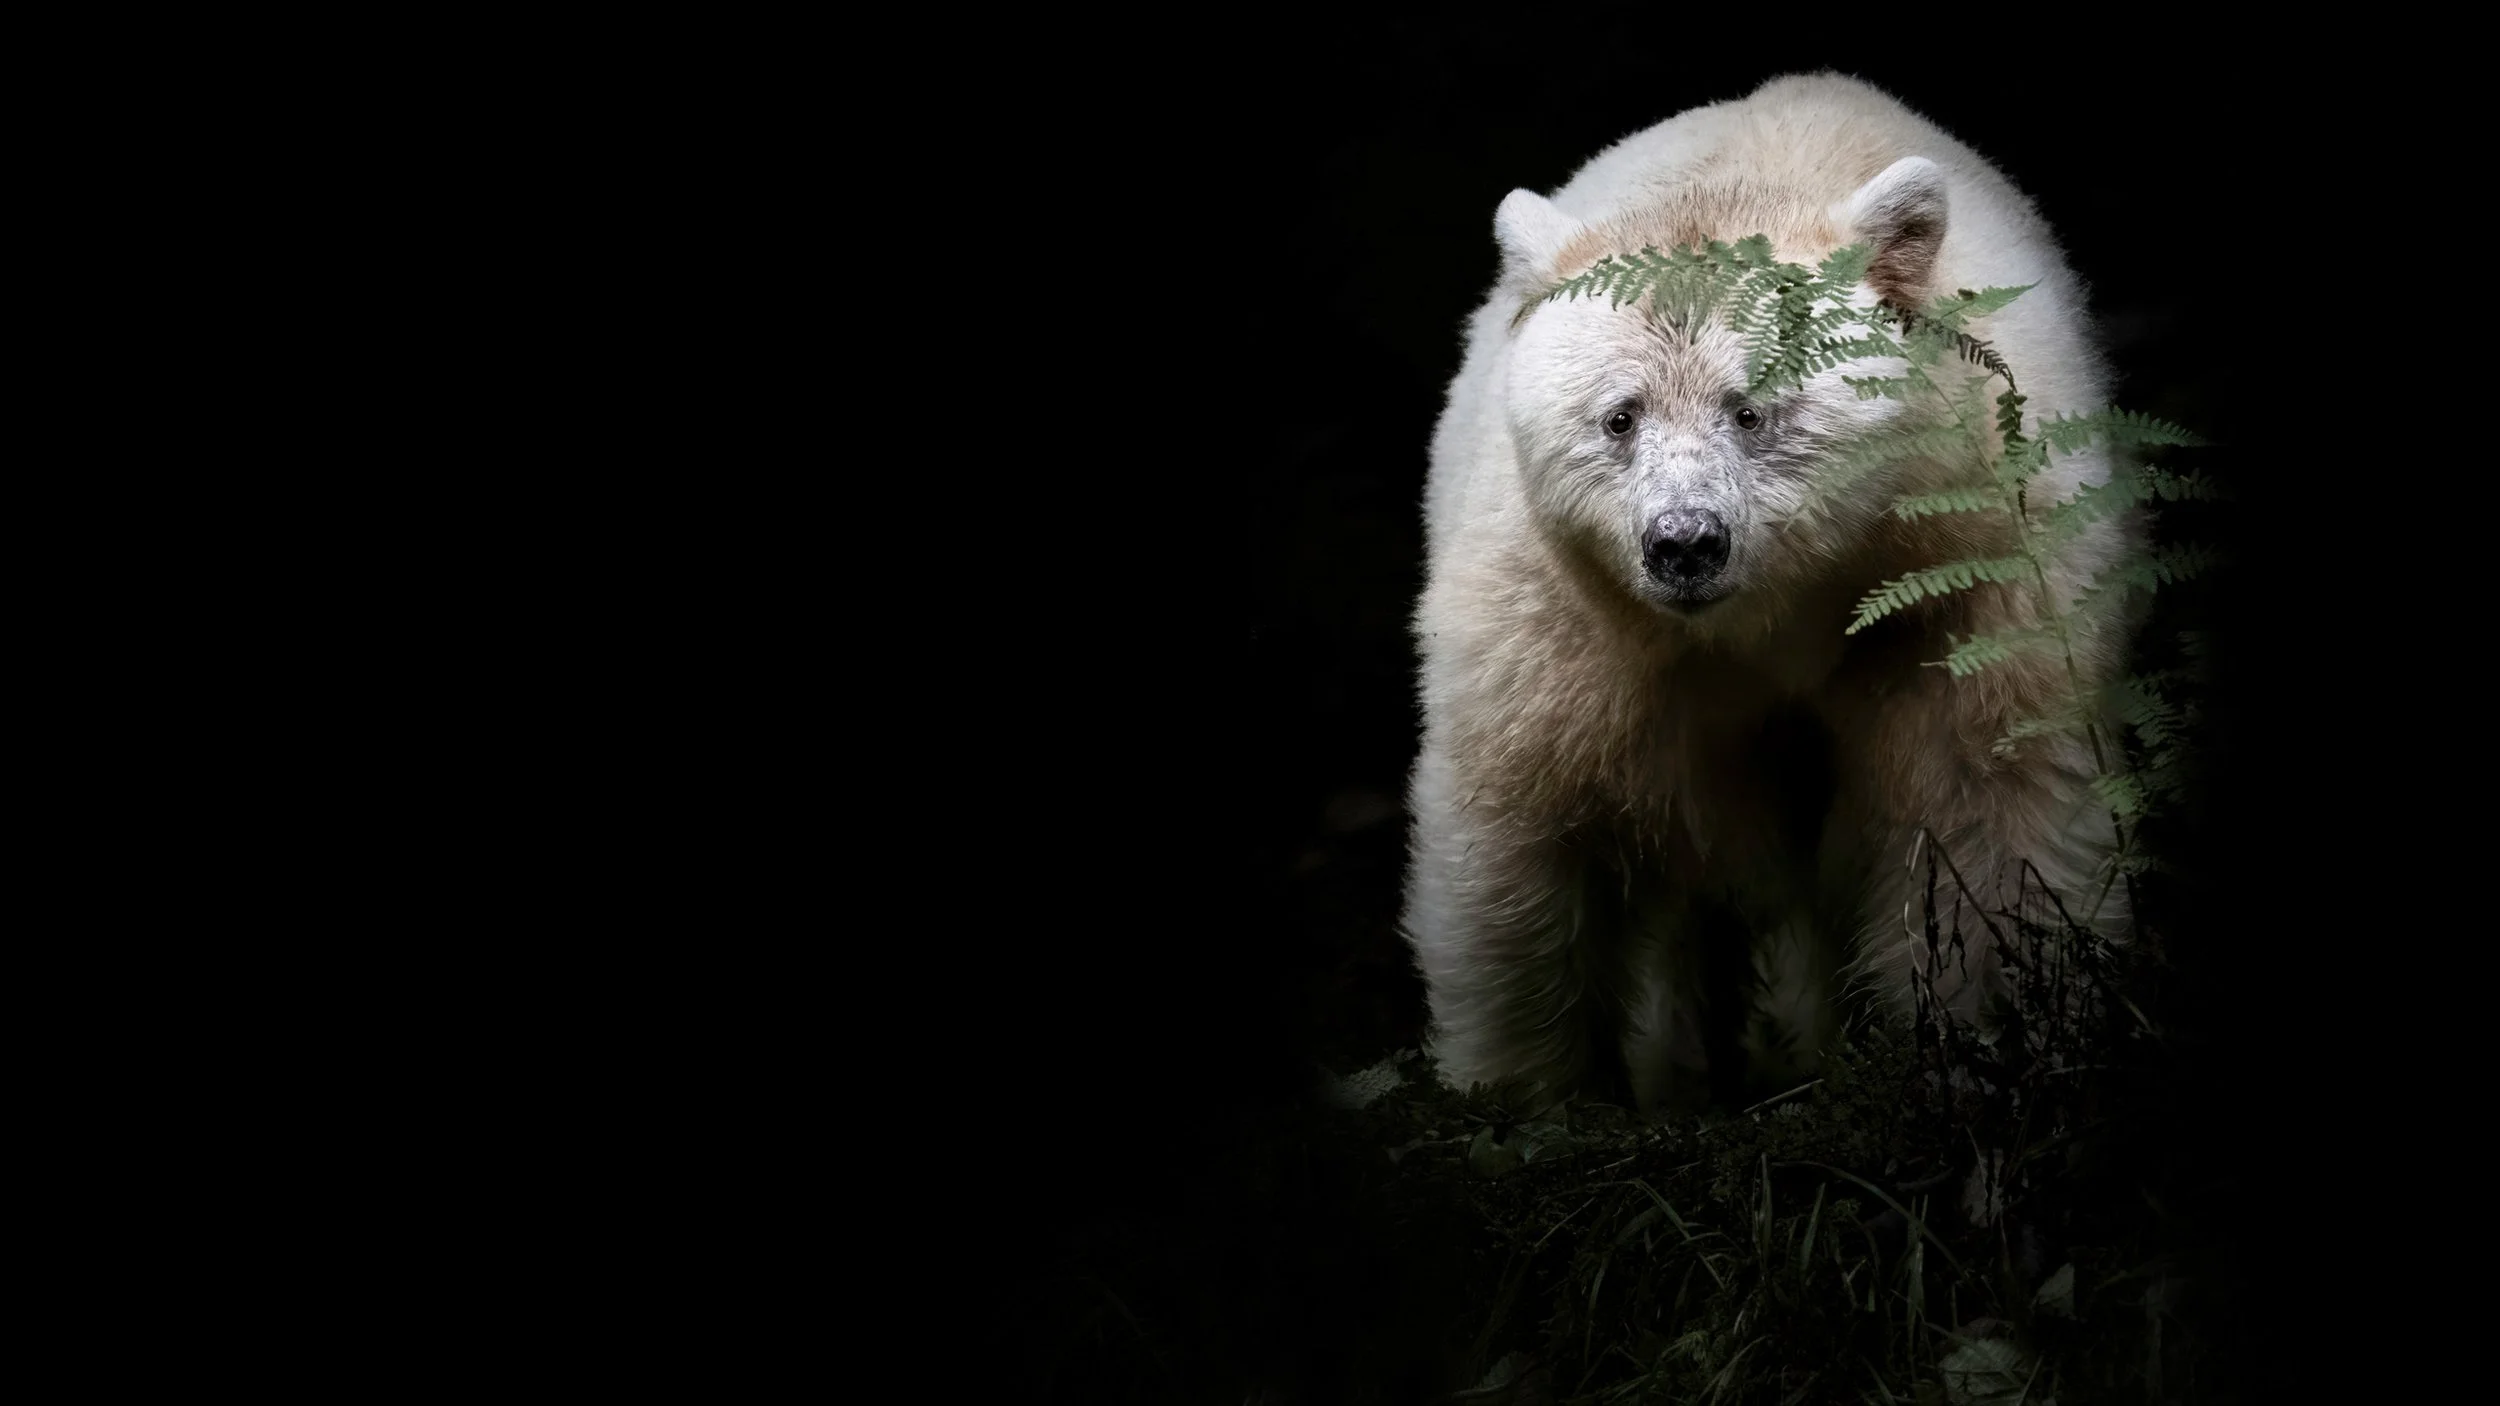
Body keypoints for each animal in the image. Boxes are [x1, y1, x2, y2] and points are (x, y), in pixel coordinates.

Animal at [1402, 71, 2135, 1115]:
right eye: (1619, 416)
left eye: (1750, 410)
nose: (1684, 545)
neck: (1780, 615)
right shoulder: (1561, 621)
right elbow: (1523, 826)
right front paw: (1532, 1097)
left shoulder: (1966, 582)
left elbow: (1990, 799)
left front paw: (2003, 1036)